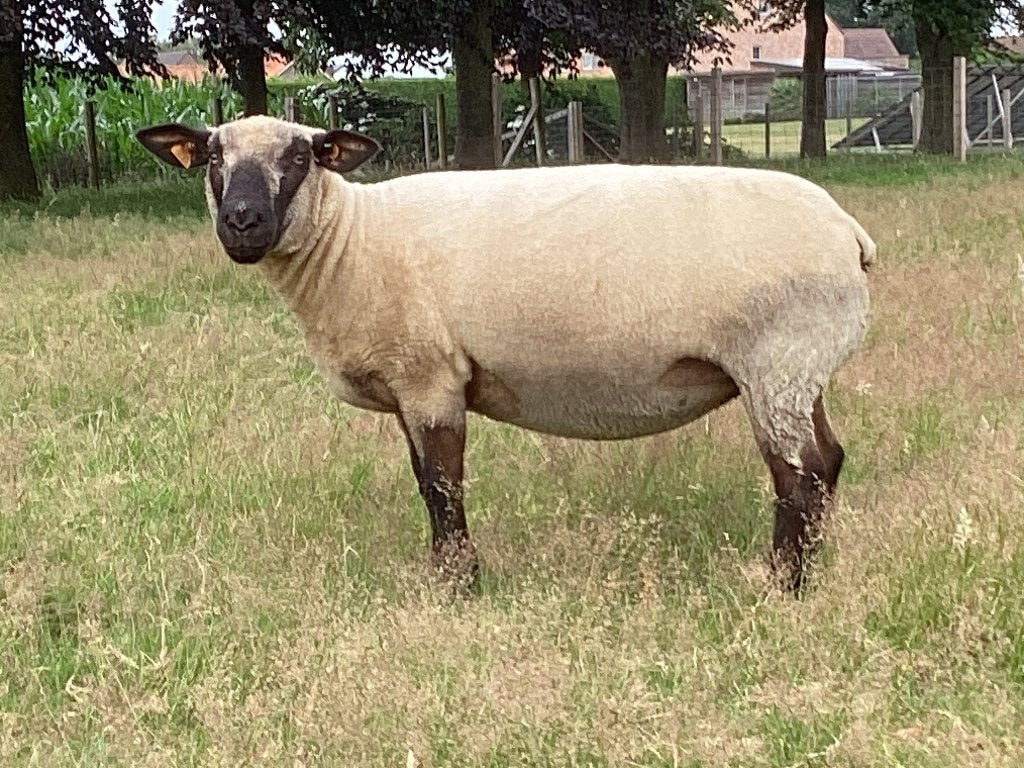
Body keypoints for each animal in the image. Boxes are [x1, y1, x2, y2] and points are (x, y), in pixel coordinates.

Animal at [136, 115, 874, 591]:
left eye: (301, 157)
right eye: (213, 158)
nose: (242, 222)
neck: (350, 242)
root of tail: (849, 232)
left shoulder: (428, 375)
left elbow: (441, 484)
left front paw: (456, 585)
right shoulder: (408, 388)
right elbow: (423, 479)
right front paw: (448, 573)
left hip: (775, 364)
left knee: (800, 475)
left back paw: (781, 585)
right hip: (800, 371)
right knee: (829, 459)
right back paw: (811, 570)